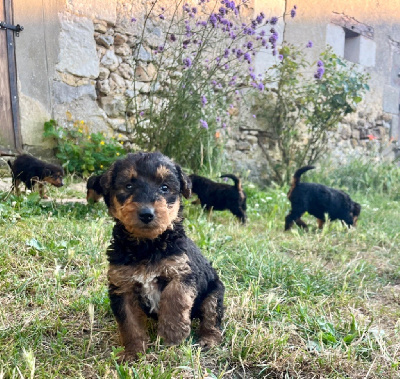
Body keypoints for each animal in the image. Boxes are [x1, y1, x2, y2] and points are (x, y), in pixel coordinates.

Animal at [100, 152, 225, 362]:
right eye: (128, 186)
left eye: (164, 187)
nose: (146, 214)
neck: (147, 245)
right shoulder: (122, 285)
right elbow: (129, 321)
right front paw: (133, 351)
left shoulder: (182, 272)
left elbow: (174, 299)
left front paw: (172, 337)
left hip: (214, 291)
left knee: (211, 317)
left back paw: (208, 339)